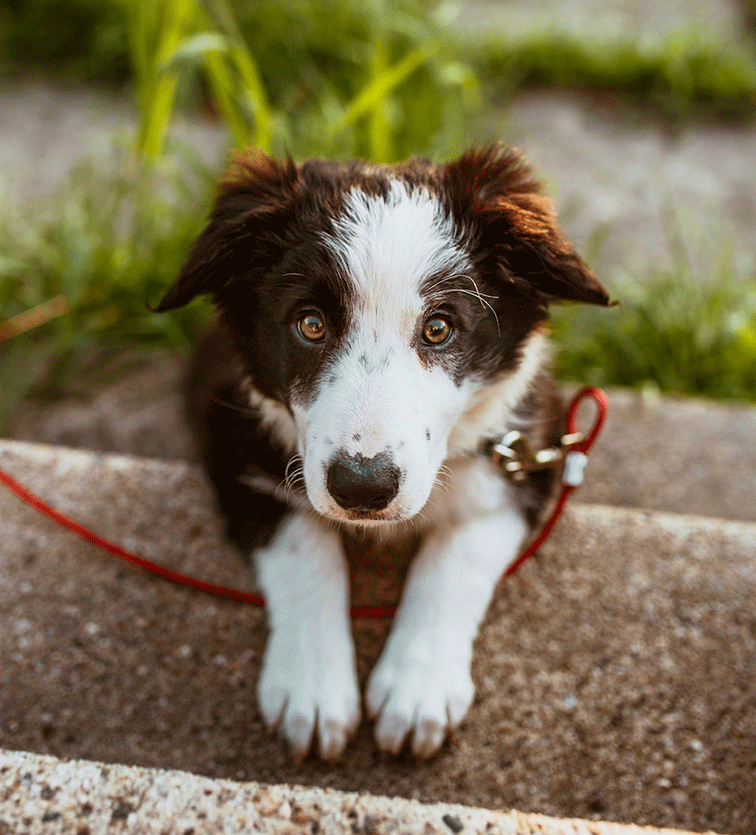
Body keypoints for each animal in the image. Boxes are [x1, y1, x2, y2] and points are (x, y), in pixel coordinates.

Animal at [157, 145, 612, 764]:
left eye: (439, 328)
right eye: (310, 324)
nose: (362, 488)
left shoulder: (527, 450)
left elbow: (455, 558)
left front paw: (417, 690)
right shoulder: (230, 435)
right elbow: (304, 545)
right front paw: (313, 691)